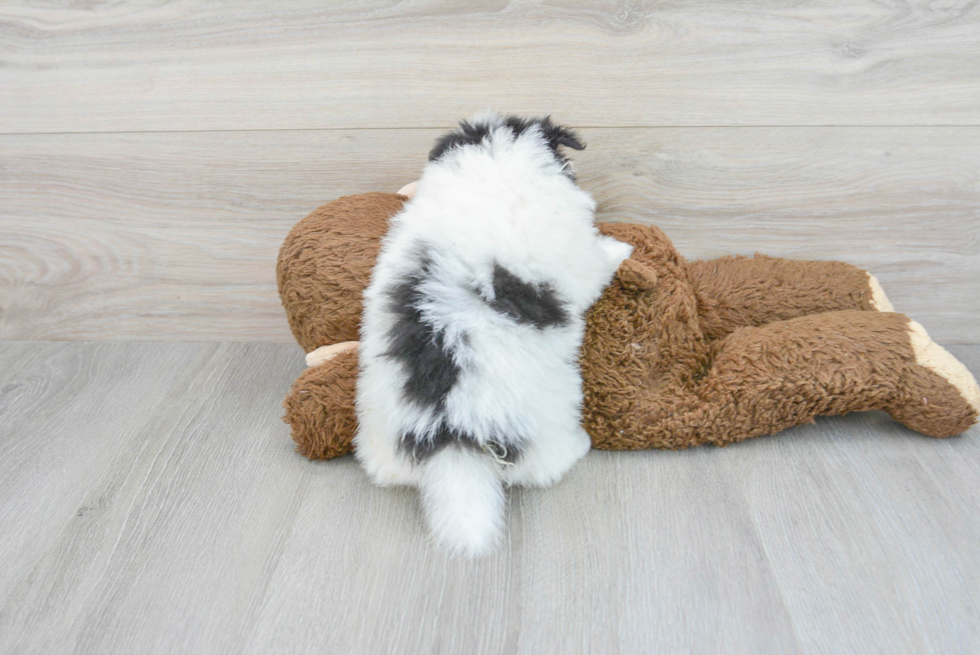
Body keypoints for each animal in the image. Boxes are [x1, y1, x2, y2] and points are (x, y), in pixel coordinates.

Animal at [356, 111, 632, 552]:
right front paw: (620, 248)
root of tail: (452, 434)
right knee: (545, 464)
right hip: (547, 417)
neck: (498, 162)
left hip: (381, 433)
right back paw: (579, 446)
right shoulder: (577, 258)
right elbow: (597, 261)